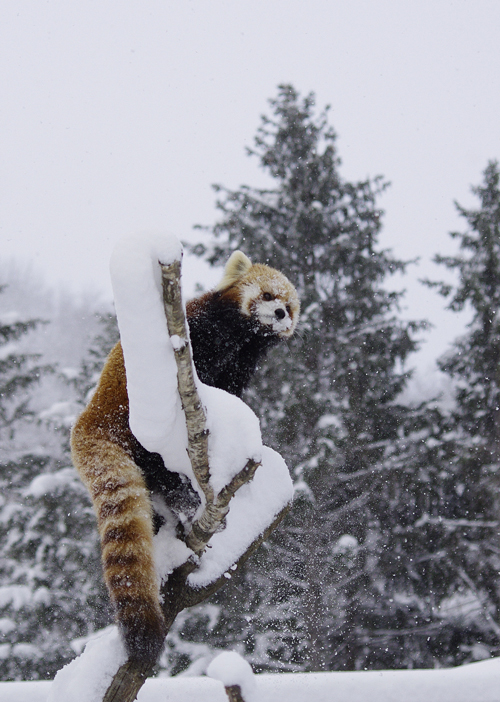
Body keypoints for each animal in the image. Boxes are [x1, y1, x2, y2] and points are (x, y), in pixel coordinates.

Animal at [70, 252, 300, 664]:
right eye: (268, 294)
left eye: (288, 306)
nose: (278, 313)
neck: (240, 339)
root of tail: (88, 421)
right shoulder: (199, 333)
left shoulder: (240, 367)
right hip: (133, 422)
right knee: (160, 463)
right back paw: (185, 497)